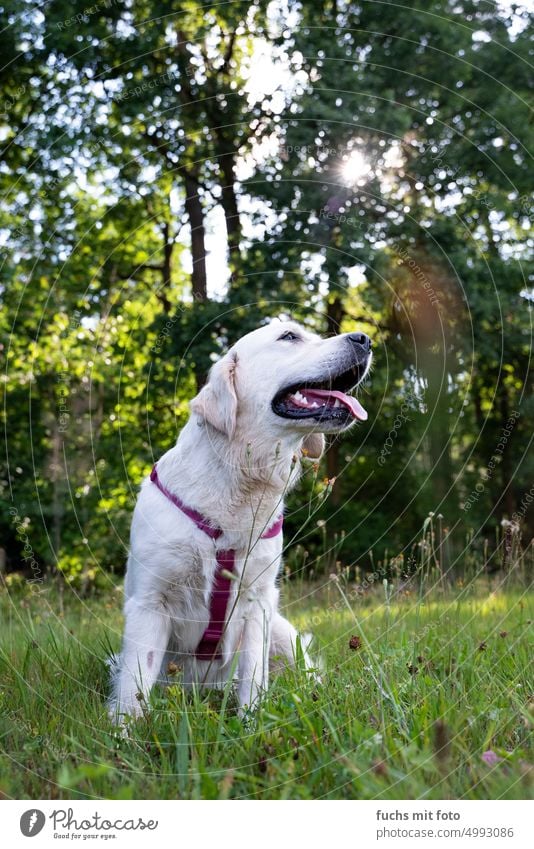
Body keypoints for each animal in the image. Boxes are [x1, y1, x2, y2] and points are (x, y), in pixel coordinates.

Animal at [110, 320, 372, 724]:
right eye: (289, 337)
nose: (365, 338)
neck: (240, 481)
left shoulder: (256, 603)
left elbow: (253, 676)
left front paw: (251, 725)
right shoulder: (150, 603)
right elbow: (133, 687)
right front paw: (125, 735)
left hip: (282, 631)